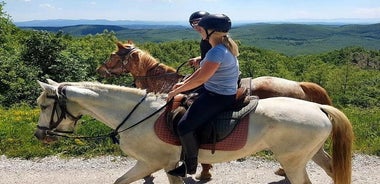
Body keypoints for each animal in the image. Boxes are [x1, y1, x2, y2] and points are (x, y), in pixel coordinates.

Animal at [35, 80, 354, 183]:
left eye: (43, 105)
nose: (39, 135)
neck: (136, 114)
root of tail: (317, 107)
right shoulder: (164, 165)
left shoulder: (151, 162)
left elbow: (119, 181)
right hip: (310, 154)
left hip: (292, 159)